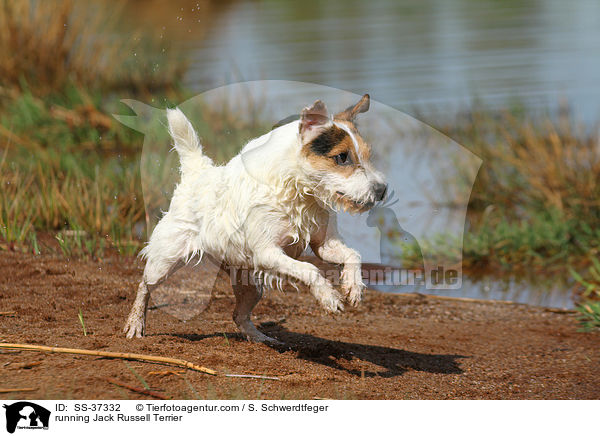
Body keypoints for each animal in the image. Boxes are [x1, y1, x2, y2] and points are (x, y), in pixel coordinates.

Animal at [123, 95, 386, 344]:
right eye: (342, 157)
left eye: (368, 155)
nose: (382, 190)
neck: (299, 191)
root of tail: (197, 174)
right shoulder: (267, 253)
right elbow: (309, 269)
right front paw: (329, 297)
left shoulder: (323, 245)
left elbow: (353, 255)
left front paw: (353, 287)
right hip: (165, 260)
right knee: (144, 285)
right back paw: (135, 324)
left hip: (250, 283)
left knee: (238, 315)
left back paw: (260, 338)